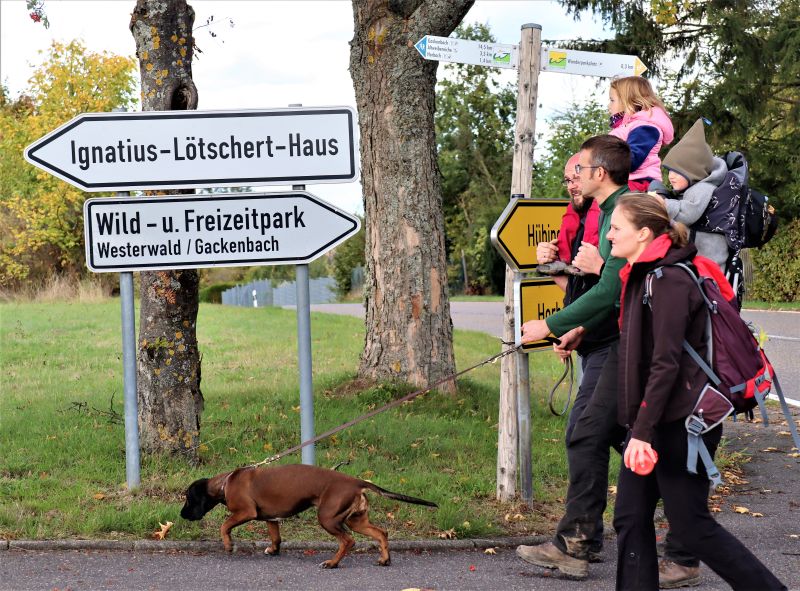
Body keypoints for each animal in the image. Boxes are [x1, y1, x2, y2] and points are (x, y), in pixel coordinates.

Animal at [181, 464, 438, 568]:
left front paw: (228, 545)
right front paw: (273, 550)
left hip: (328, 518)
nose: (182, 515)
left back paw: (332, 563)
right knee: (381, 532)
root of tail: (357, 482)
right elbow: (276, 537)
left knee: (348, 541)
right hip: (356, 520)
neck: (226, 482)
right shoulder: (271, 518)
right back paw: (384, 559)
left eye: (188, 498)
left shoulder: (245, 512)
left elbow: (225, 525)